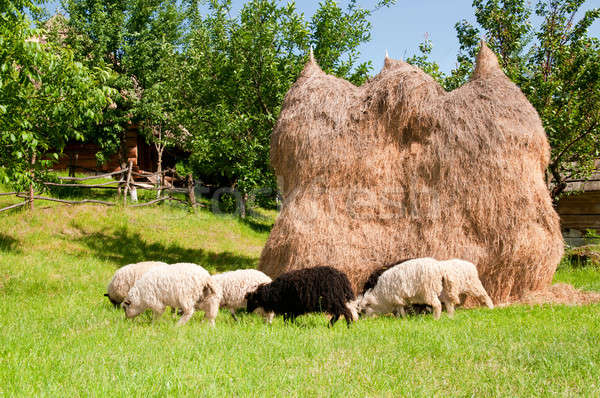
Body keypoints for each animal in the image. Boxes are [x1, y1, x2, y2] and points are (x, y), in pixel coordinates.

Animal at [360, 258, 492, 320]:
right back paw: (450, 316)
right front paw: (404, 318)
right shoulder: (401, 299)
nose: (364, 321)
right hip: (444, 291)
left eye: (363, 311)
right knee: (449, 304)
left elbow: (401, 309)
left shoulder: (397, 297)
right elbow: (402, 309)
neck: (380, 296)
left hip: (431, 290)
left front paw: (402, 318)